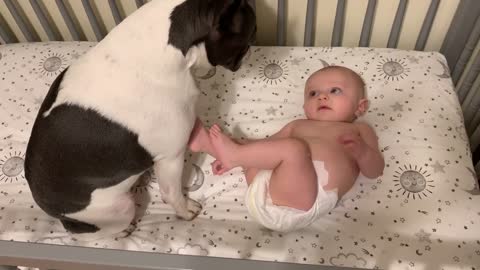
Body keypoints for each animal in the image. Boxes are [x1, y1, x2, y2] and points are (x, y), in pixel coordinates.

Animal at [24, 0, 256, 240]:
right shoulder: (171, 158)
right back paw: (123, 229)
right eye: (251, 34)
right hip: (121, 208)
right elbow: (172, 193)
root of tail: (52, 210)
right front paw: (185, 211)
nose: (251, 50)